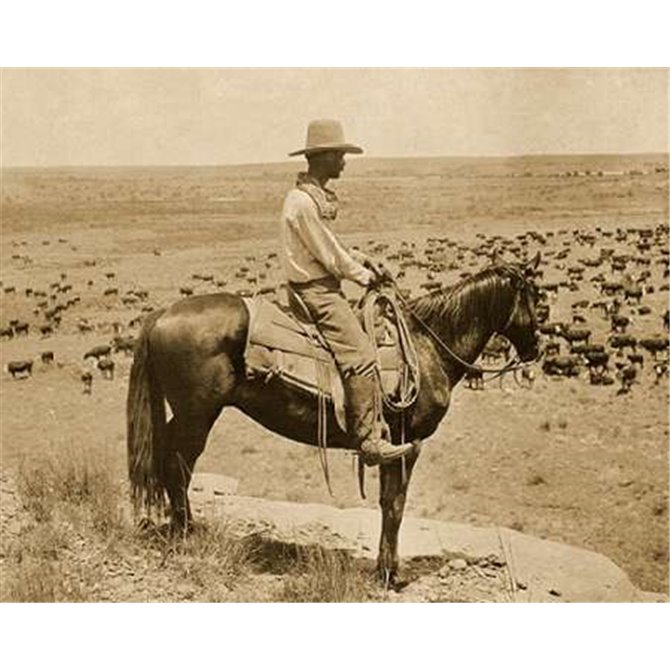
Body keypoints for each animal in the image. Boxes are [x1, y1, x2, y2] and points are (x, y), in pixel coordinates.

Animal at [129, 255, 544, 584]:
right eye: (534, 297)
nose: (535, 349)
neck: (428, 348)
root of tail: (162, 314)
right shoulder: (407, 443)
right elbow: (395, 505)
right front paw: (390, 574)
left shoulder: (395, 445)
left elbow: (387, 503)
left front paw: (384, 567)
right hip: (197, 415)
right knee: (177, 465)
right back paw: (187, 534)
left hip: (186, 414)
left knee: (166, 461)